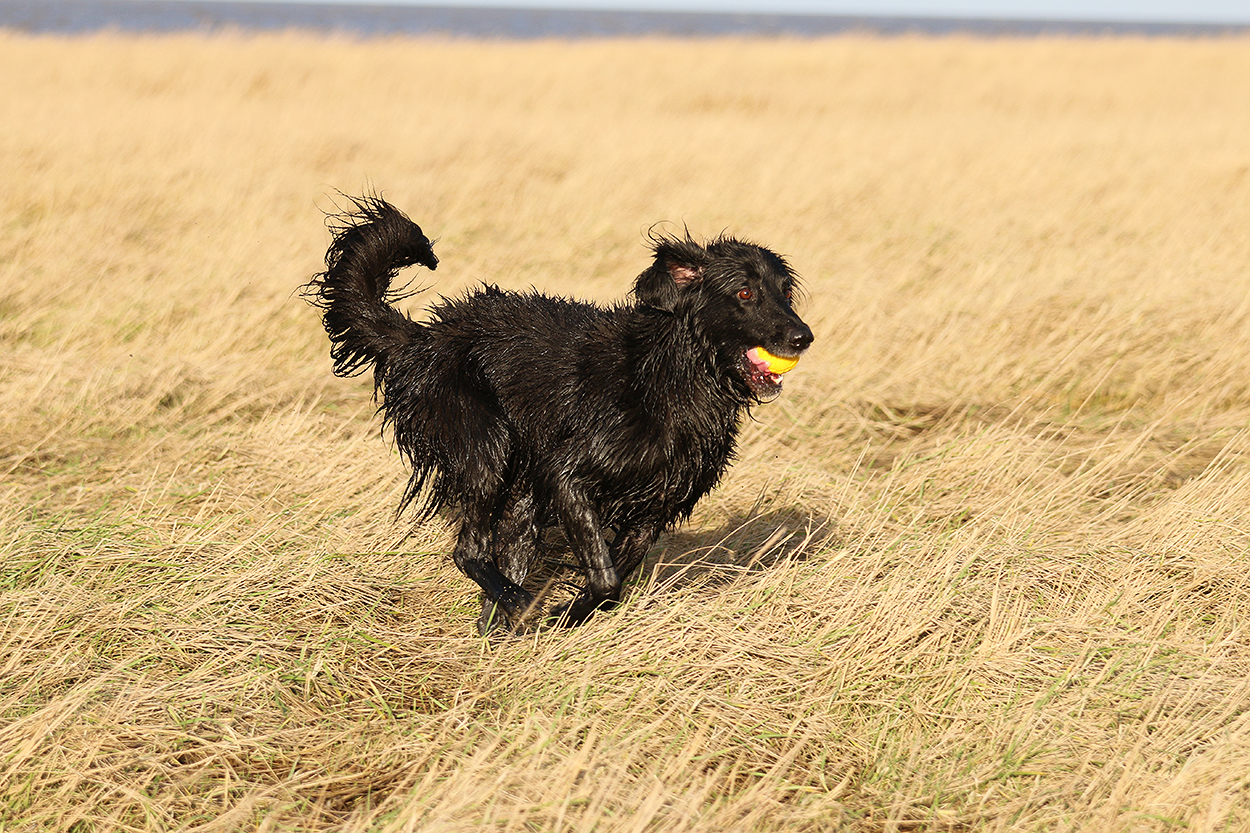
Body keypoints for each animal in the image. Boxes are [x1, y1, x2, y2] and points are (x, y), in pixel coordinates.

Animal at [304, 195, 813, 633]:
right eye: (744, 293)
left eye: (785, 292)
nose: (803, 337)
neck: (671, 377)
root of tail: (422, 338)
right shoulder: (566, 473)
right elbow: (606, 577)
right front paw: (557, 614)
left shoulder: (657, 507)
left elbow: (613, 579)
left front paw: (570, 614)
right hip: (487, 443)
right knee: (469, 550)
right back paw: (519, 604)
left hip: (521, 499)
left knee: (495, 564)